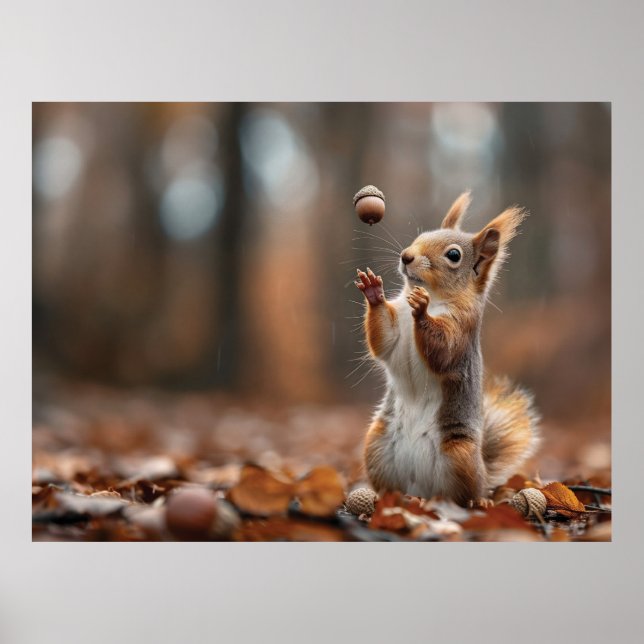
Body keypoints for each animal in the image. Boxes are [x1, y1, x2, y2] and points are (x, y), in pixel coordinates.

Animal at [355, 192, 539, 507]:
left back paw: (477, 501)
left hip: (459, 455)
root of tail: (421, 488)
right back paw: (391, 498)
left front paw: (421, 310)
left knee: (463, 493)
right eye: (420, 236)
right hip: (375, 446)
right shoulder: (395, 328)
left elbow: (444, 352)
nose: (406, 256)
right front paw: (373, 293)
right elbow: (384, 340)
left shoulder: (462, 329)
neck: (436, 296)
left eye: (454, 255)